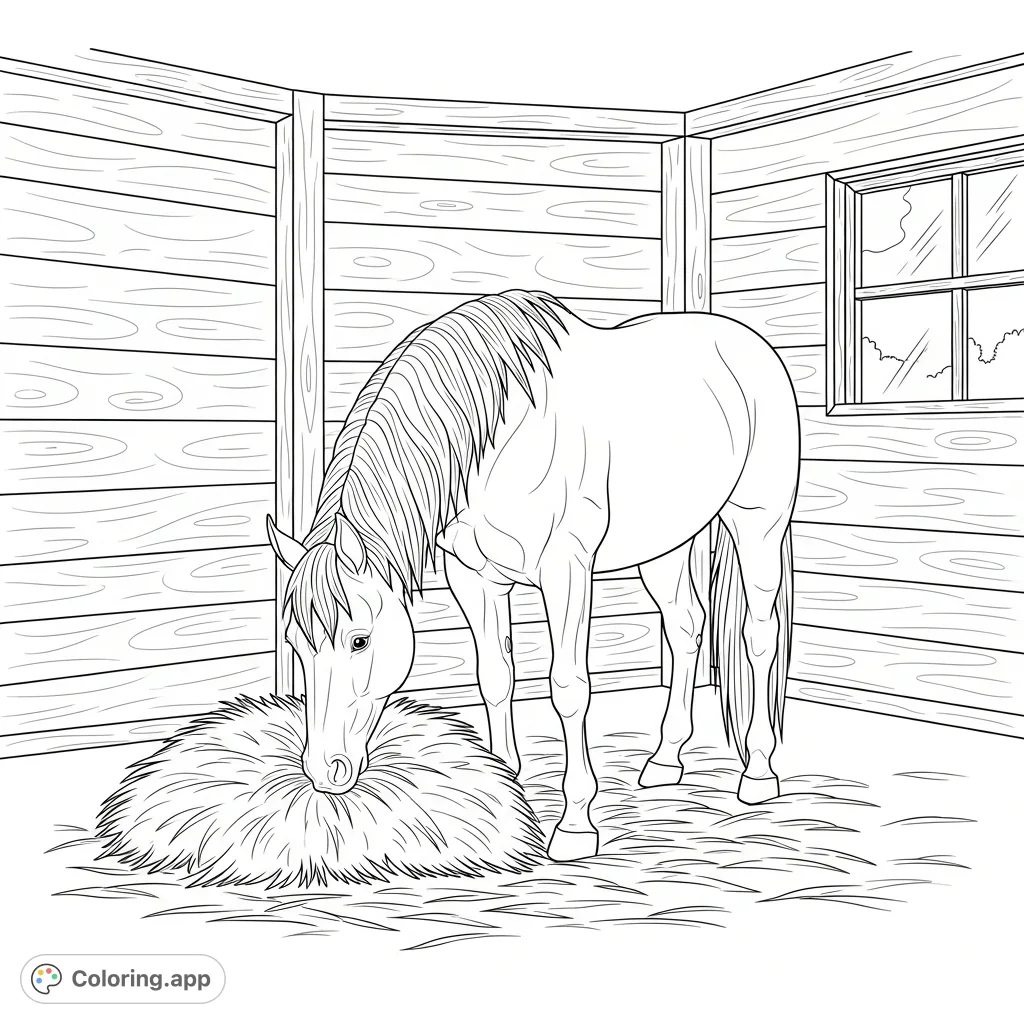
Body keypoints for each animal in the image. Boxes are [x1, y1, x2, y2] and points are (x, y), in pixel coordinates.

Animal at [267, 289, 799, 862]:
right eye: (294, 643)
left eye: (360, 640)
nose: (325, 773)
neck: (496, 441)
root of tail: (750, 341)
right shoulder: (473, 577)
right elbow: (495, 675)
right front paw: (504, 777)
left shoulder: (565, 570)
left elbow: (568, 686)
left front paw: (575, 826)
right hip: (666, 544)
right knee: (686, 627)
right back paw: (664, 761)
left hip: (758, 525)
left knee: (759, 635)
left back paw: (758, 773)